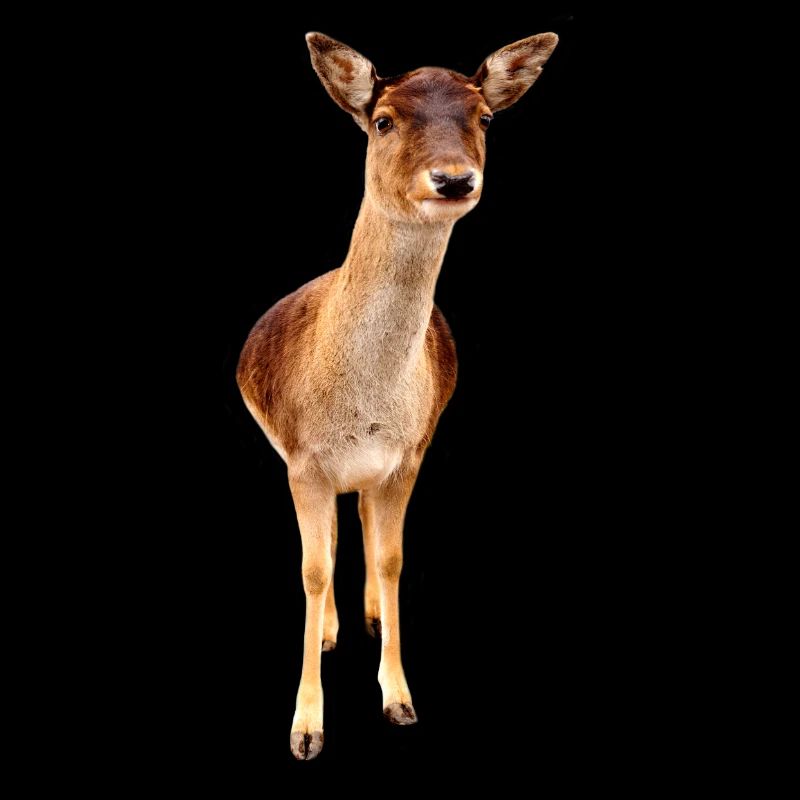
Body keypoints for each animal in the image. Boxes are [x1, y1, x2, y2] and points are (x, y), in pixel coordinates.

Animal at [237, 31, 558, 760]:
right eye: (383, 119)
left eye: (484, 118)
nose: (453, 179)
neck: (365, 411)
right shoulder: (302, 461)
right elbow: (312, 568)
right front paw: (306, 728)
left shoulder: (409, 454)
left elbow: (391, 557)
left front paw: (399, 698)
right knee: (330, 537)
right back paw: (333, 628)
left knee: (358, 519)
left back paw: (372, 617)